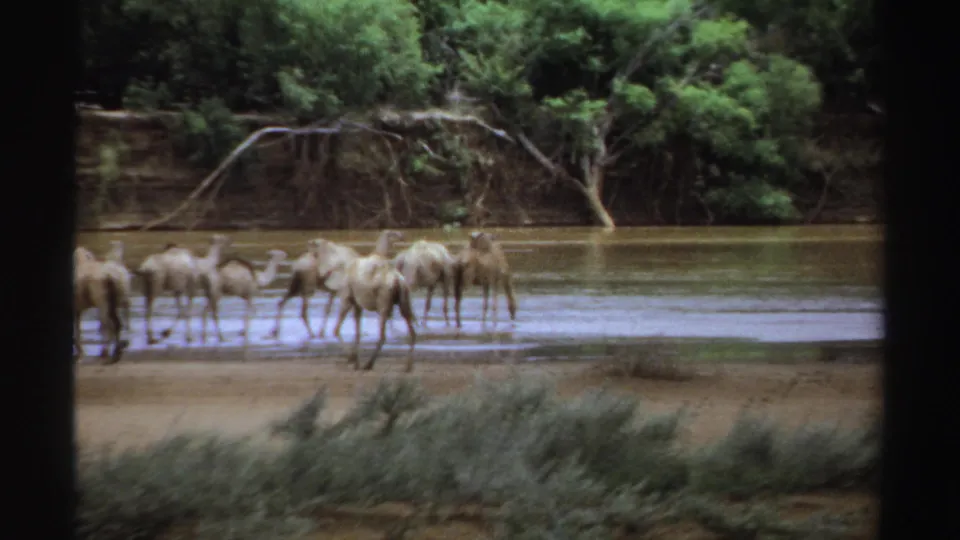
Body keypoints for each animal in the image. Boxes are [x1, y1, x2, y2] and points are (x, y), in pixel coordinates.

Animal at [269, 230, 405, 340]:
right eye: (391, 233)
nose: (401, 235)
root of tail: (297, 266)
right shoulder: (344, 290)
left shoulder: (333, 292)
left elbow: (327, 310)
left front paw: (322, 332)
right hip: (308, 284)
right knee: (303, 311)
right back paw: (311, 334)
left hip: (296, 284)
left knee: (282, 302)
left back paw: (275, 332)